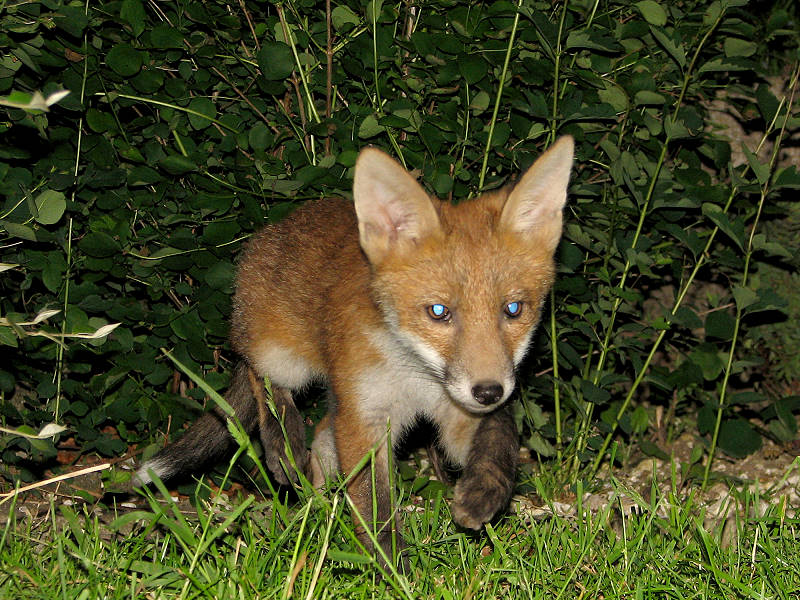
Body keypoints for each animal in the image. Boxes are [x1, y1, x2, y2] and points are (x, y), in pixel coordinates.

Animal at [135, 135, 575, 563]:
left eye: (513, 309)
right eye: (438, 312)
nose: (489, 392)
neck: (415, 375)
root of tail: (277, 226)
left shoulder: (455, 412)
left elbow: (500, 440)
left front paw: (484, 493)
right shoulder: (363, 416)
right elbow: (374, 508)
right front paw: (395, 571)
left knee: (322, 435)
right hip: (283, 356)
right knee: (260, 376)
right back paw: (282, 442)